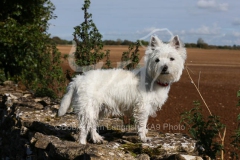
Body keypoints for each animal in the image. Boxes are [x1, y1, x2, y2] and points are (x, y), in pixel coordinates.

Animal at [58, 35, 186, 144]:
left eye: (171, 59)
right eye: (157, 60)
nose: (164, 68)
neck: (154, 79)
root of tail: (78, 79)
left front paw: (145, 133)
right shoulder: (142, 107)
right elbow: (142, 123)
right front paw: (143, 137)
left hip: (98, 109)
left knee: (92, 125)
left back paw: (96, 138)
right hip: (87, 108)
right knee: (84, 128)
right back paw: (83, 143)